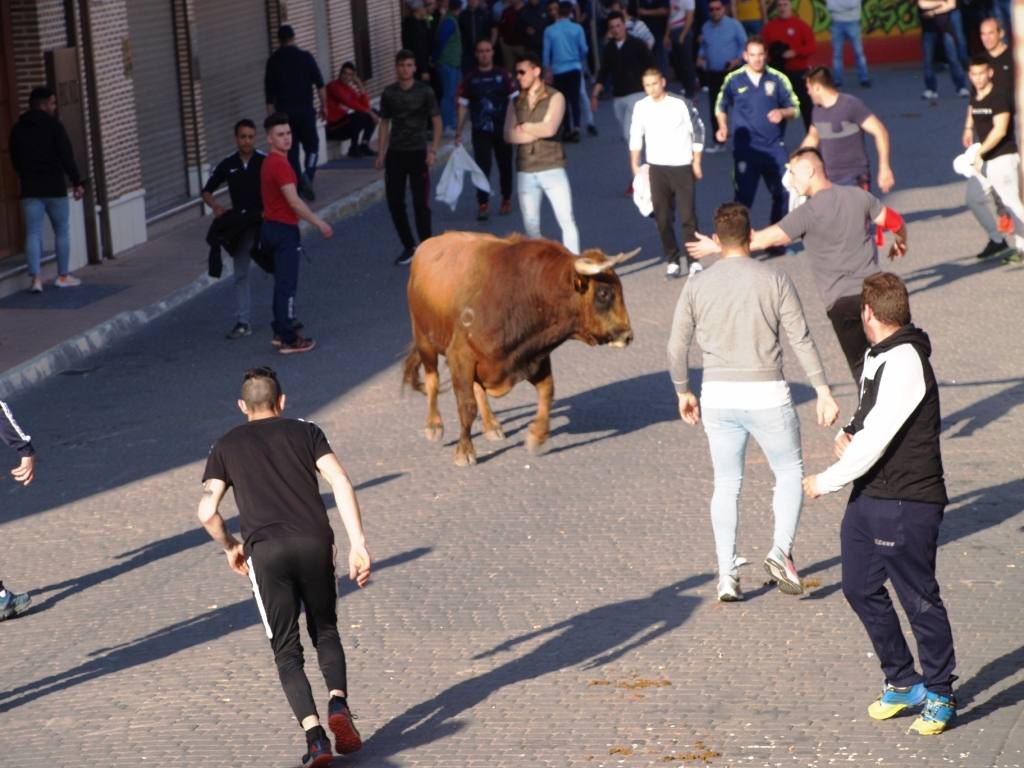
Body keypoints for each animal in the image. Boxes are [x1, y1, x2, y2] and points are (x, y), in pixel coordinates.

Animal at [399, 231, 630, 466]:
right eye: (604, 293)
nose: (627, 334)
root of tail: (427, 245)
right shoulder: (460, 356)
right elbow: (467, 405)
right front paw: (464, 451)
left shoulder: (534, 357)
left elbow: (547, 392)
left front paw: (538, 437)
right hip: (424, 339)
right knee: (432, 381)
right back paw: (434, 425)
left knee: (477, 388)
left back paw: (491, 425)